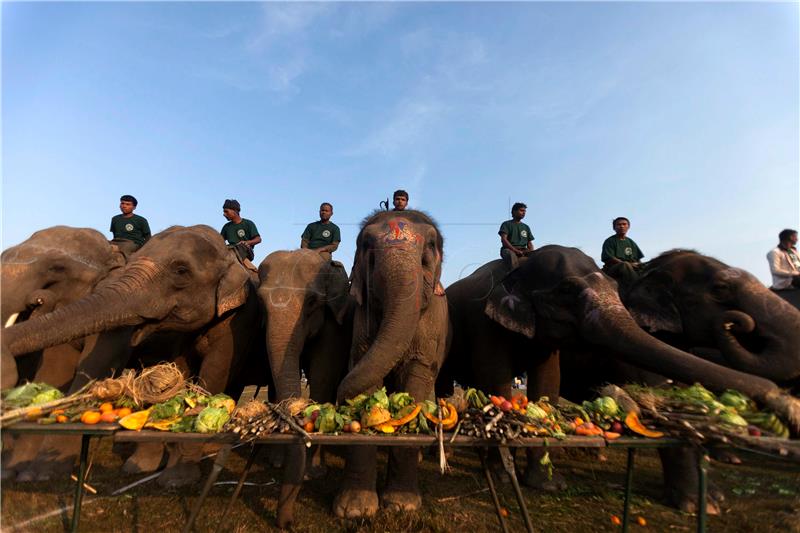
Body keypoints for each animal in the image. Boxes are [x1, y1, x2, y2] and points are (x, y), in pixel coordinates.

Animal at [3, 224, 266, 486]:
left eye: (181, 271)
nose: (37, 300)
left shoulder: (239, 318)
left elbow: (213, 372)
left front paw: (176, 479)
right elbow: (54, 369)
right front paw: (30, 473)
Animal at [256, 247, 350, 524]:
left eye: (311, 302)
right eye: (260, 303)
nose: (287, 523)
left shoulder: (334, 324)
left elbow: (322, 376)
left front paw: (313, 472)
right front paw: (277, 462)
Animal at [328, 209, 446, 520]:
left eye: (429, 250)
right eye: (367, 247)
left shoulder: (430, 325)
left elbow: (416, 381)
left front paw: (402, 505)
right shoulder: (363, 318)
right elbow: (363, 369)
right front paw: (354, 511)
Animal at [438, 245, 800, 512]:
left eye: (614, 290)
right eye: (721, 290)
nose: (783, 400)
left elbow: (548, 386)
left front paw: (548, 485)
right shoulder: (484, 322)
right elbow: (496, 380)